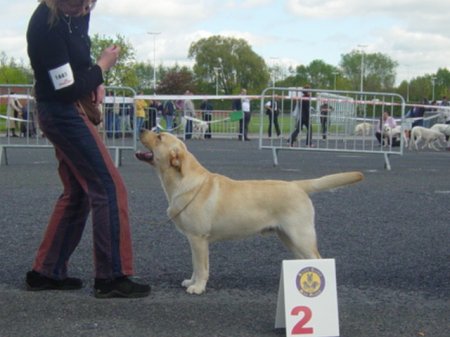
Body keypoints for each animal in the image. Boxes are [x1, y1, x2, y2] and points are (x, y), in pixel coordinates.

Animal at [135, 131, 364, 294]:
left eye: (159, 137)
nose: (142, 127)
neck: (181, 181)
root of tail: (298, 185)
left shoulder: (198, 238)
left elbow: (201, 267)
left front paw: (197, 287)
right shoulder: (194, 240)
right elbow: (195, 265)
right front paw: (191, 281)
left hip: (301, 236)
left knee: (317, 259)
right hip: (288, 237)